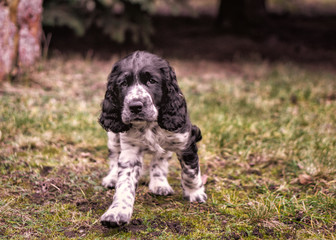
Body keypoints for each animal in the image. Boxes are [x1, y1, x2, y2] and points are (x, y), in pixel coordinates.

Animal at [98, 50, 206, 227]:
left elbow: (190, 173)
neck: (149, 125)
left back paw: (159, 184)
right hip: (113, 137)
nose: (135, 106)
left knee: (160, 158)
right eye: (123, 83)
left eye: (152, 81)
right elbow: (124, 183)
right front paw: (117, 212)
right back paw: (112, 178)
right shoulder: (130, 151)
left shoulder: (185, 141)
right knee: (114, 156)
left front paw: (194, 193)